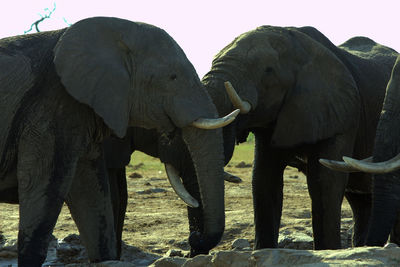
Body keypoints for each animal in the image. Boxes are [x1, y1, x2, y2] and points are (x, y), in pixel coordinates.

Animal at [0, 17, 238, 267]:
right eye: (173, 77)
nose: (194, 237)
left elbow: (91, 192)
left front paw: (106, 258)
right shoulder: (49, 110)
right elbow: (45, 187)